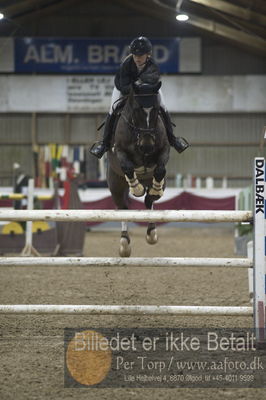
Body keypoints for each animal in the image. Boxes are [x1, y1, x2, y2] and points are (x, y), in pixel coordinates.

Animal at [106, 82, 170, 256]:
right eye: (136, 110)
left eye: (156, 110)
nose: (147, 146)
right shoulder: (119, 151)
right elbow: (128, 166)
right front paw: (137, 189)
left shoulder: (164, 149)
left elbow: (160, 169)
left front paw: (154, 190)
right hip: (116, 185)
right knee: (123, 208)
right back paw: (124, 244)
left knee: (149, 201)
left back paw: (152, 232)